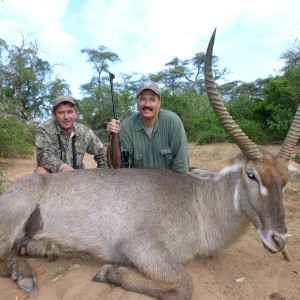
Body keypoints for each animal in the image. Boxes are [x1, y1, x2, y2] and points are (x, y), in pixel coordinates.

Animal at [0, 28, 298, 300]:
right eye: (251, 174)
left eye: (285, 180)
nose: (279, 239)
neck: (197, 202)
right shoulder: (139, 246)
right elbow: (184, 286)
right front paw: (108, 272)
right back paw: (25, 275)